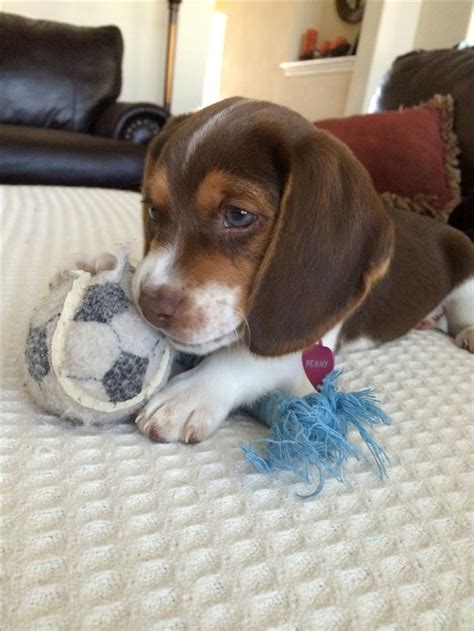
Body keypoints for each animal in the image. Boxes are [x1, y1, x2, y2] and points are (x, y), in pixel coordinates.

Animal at [77, 97, 474, 444]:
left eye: (238, 215)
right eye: (153, 210)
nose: (149, 306)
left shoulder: (304, 352)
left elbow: (246, 356)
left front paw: (188, 394)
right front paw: (102, 264)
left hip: (467, 275)